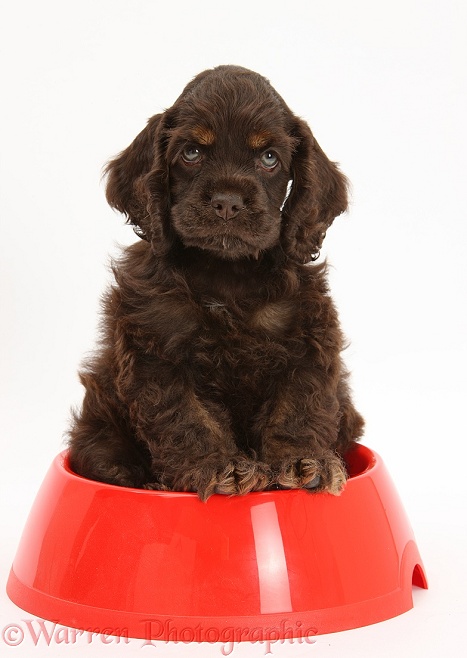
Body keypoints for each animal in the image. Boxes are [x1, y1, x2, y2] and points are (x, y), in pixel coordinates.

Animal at [67, 65, 364, 498]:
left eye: (269, 158)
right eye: (191, 153)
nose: (227, 203)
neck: (227, 273)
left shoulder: (308, 341)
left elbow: (298, 408)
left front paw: (301, 461)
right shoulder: (157, 351)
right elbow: (188, 418)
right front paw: (221, 467)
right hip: (99, 427)